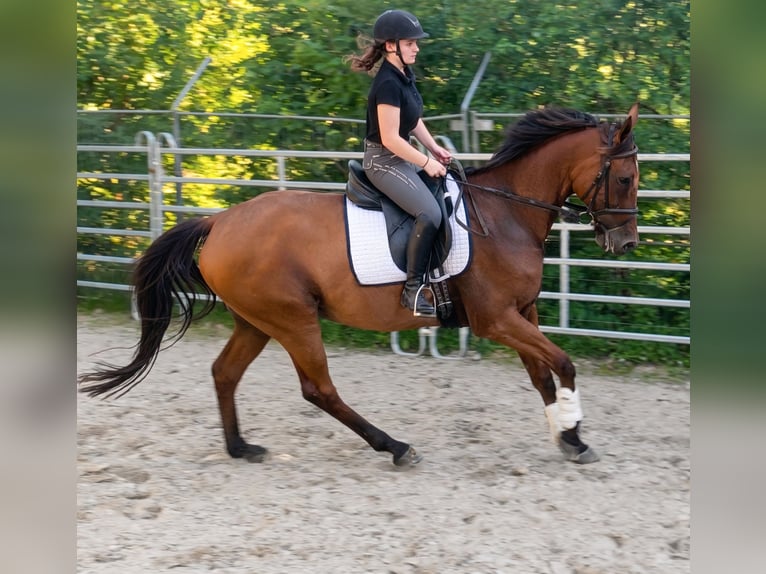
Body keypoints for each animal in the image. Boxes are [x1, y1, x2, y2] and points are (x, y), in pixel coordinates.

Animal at [79, 104, 640, 467]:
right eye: (626, 179)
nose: (626, 241)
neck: (506, 215)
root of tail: (218, 221)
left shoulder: (523, 313)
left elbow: (543, 375)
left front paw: (568, 436)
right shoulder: (496, 319)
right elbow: (563, 363)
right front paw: (573, 431)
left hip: (256, 321)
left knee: (225, 372)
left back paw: (241, 448)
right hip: (293, 319)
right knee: (319, 389)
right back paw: (394, 447)